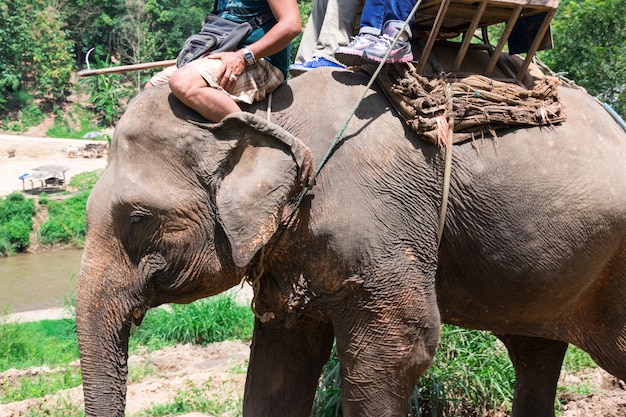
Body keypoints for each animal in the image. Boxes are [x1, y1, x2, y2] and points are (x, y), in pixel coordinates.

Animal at [75, 66, 624, 416]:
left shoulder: (378, 215)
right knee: (535, 352)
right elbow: (279, 361)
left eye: (138, 219)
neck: (263, 110)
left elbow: (400, 349)